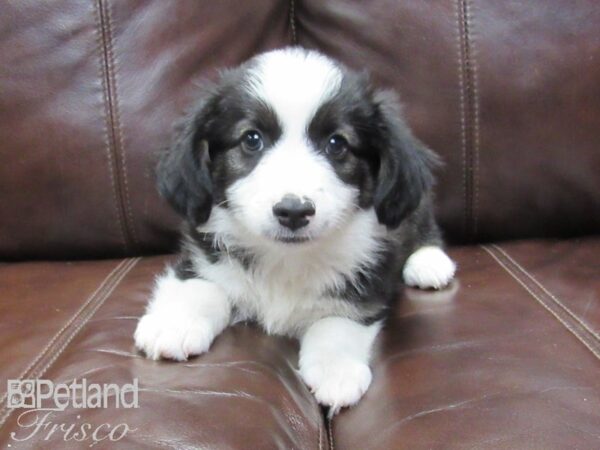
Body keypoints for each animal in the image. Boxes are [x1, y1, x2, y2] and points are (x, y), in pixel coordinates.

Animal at [135, 46, 454, 414]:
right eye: (251, 139)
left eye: (337, 144)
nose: (293, 211)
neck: (286, 259)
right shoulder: (201, 253)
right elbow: (203, 286)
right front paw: (173, 324)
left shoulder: (367, 285)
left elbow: (337, 321)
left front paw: (336, 370)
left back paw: (429, 263)